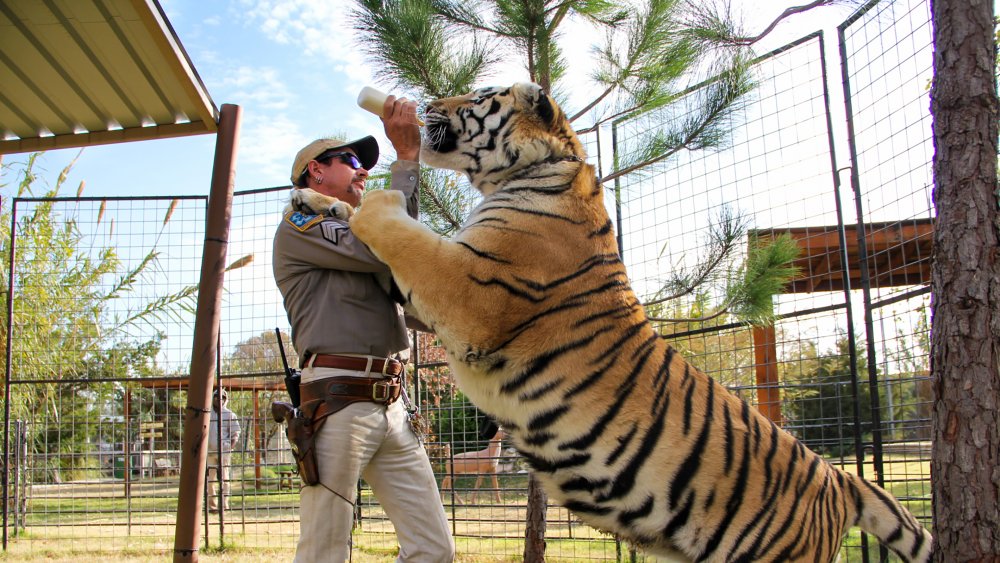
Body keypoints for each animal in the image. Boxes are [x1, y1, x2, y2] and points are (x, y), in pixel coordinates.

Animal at [348, 83, 932, 563]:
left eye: (476, 96)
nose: (426, 105)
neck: (537, 168)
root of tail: (839, 478)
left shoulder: (471, 290)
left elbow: (405, 235)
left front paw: (366, 201)